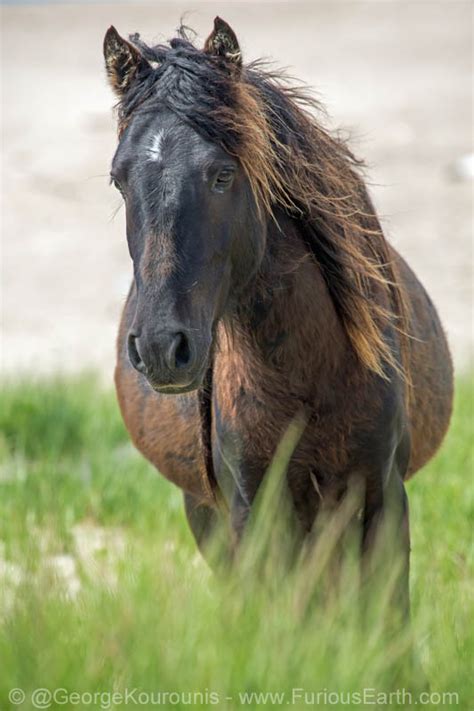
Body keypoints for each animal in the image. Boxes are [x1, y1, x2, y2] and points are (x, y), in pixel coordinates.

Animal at [103, 13, 452, 608]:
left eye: (222, 174)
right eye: (119, 179)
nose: (160, 348)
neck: (307, 378)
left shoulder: (383, 500)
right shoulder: (254, 514)